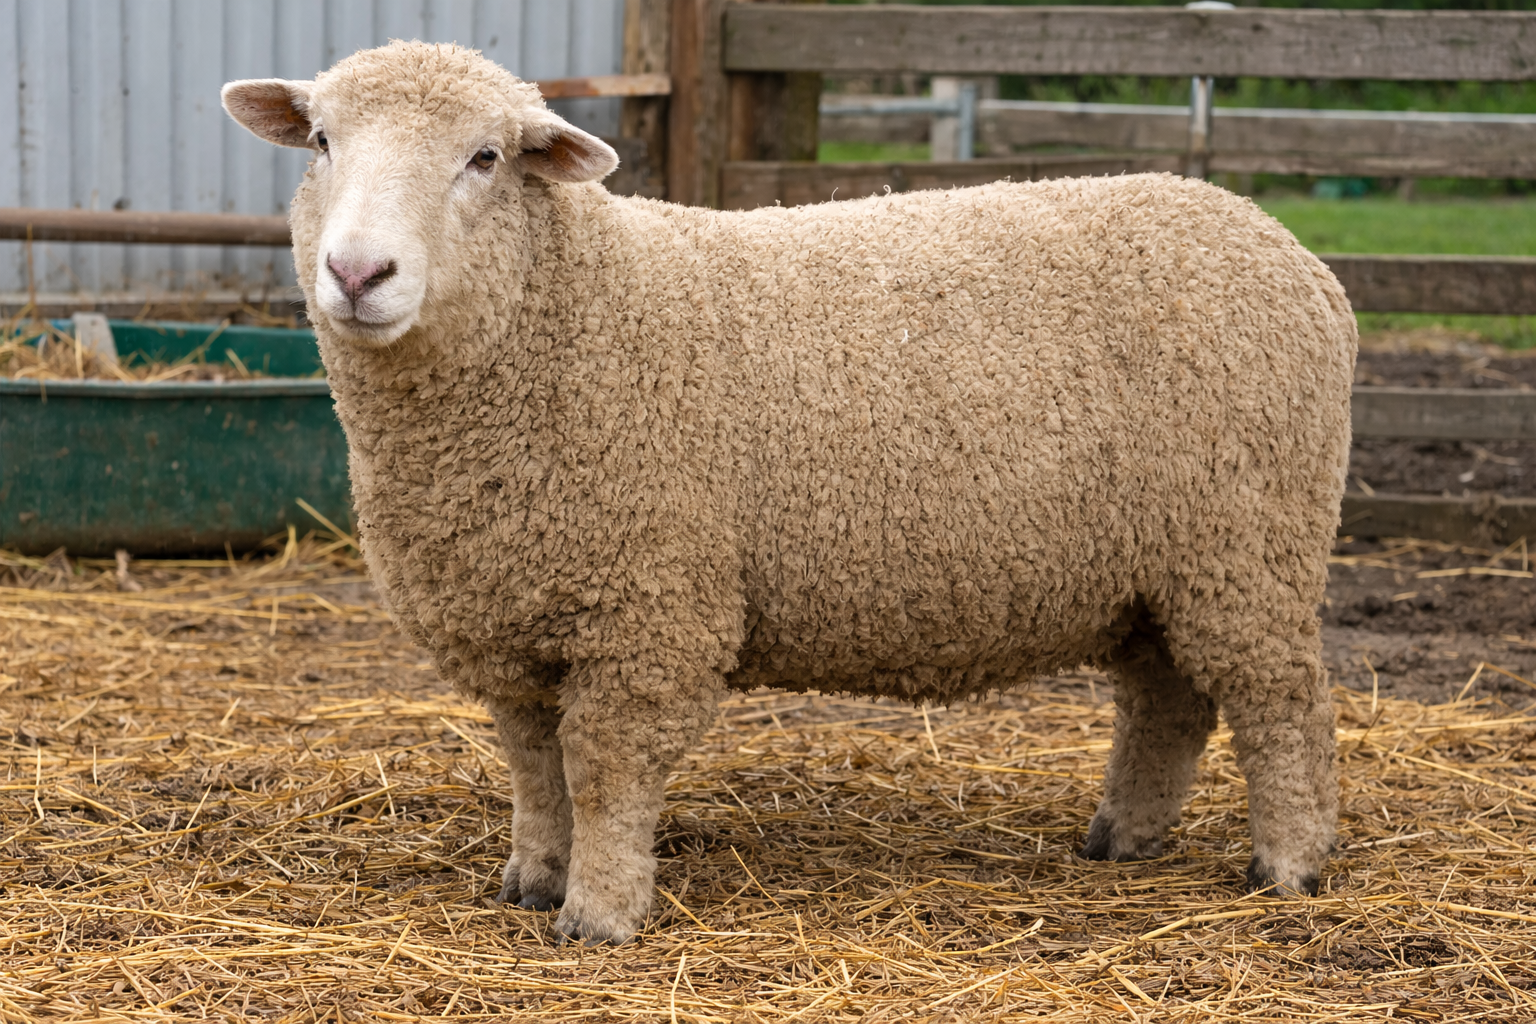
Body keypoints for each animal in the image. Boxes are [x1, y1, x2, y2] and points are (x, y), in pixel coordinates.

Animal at [223, 41, 1356, 945]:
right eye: (319, 140)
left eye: (486, 158)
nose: (357, 273)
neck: (578, 312)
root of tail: (1292, 252)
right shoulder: (514, 613)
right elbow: (535, 764)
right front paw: (534, 880)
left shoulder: (650, 612)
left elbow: (604, 767)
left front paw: (599, 915)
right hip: (1165, 566)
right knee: (1167, 700)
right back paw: (1122, 839)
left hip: (1250, 542)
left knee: (1281, 703)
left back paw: (1289, 865)